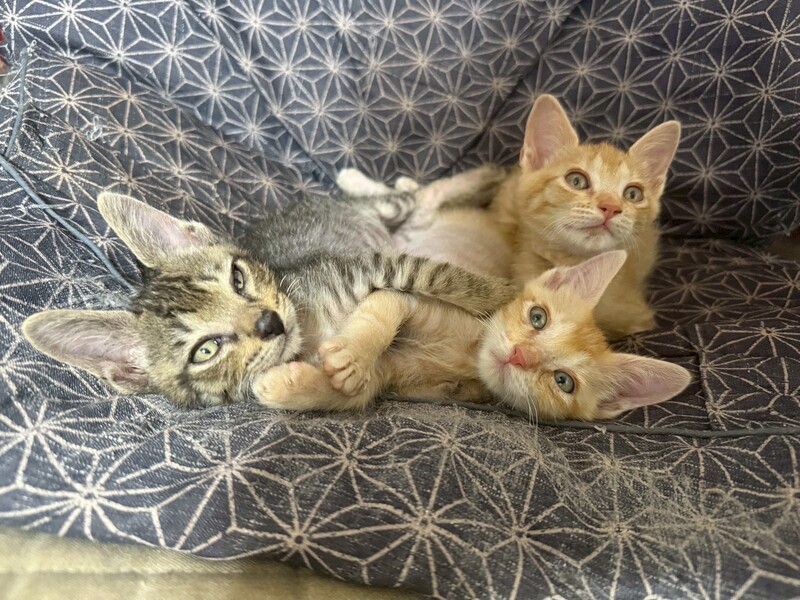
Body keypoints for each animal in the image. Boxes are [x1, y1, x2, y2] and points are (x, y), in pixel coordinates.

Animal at [22, 191, 517, 410]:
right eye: (206, 350)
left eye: (238, 278)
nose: (269, 323)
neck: (316, 328)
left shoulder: (372, 266)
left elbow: (444, 278)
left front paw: (509, 295)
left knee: (416, 195)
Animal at [339, 94, 682, 340]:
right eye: (577, 180)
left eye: (633, 194)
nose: (611, 207)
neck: (568, 261)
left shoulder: (630, 318)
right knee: (422, 199)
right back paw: (359, 179)